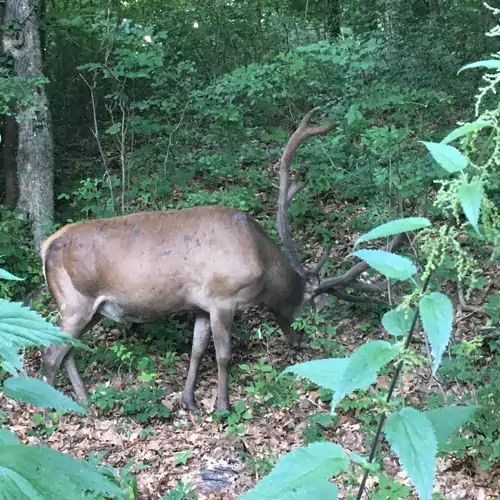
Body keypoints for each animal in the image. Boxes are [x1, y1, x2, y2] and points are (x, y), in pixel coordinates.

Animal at [40, 107, 390, 412]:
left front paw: (189, 401)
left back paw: (85, 403)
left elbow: (196, 350)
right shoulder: (224, 298)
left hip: (89, 310)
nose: (300, 341)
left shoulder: (200, 305)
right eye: (308, 308)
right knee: (50, 354)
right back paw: (50, 411)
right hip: (75, 302)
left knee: (66, 351)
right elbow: (223, 355)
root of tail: (45, 246)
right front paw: (222, 406)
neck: (261, 264)